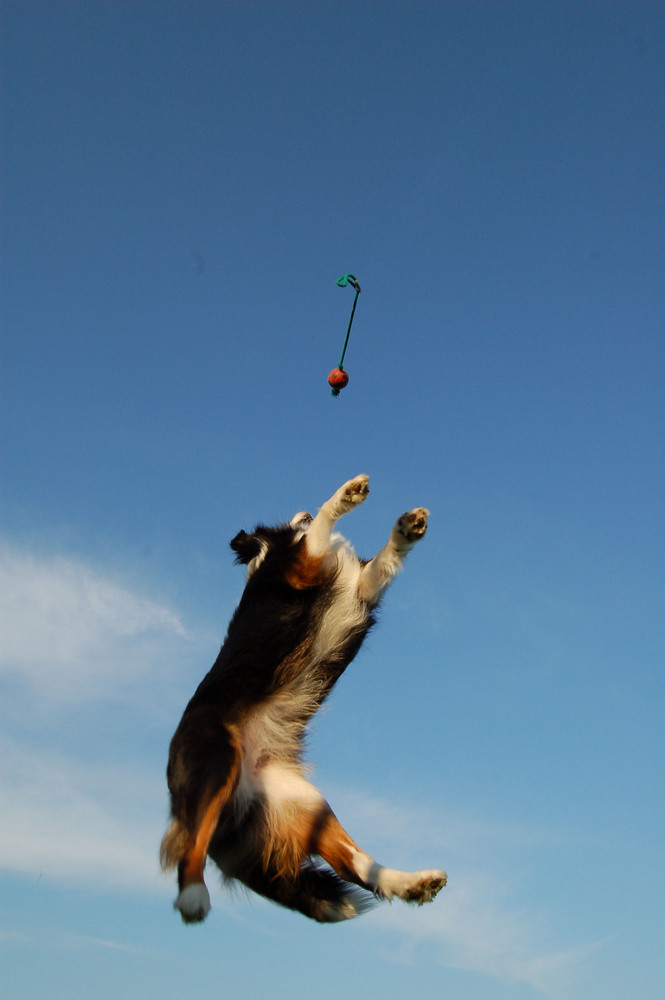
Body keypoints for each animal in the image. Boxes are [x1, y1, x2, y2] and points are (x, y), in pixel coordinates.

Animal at [160, 476, 446, 920]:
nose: (301, 511)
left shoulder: (359, 587)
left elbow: (383, 558)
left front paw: (407, 528)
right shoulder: (302, 567)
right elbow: (323, 522)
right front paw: (347, 494)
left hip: (306, 804)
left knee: (355, 866)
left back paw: (412, 883)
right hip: (216, 758)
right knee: (190, 841)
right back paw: (192, 896)